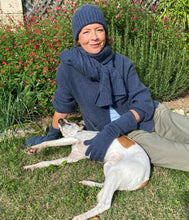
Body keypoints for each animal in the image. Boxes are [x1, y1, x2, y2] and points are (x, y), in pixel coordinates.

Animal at [23, 118, 151, 220]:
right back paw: (88, 183)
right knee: (104, 184)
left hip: (116, 171)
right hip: (109, 166)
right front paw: (33, 166)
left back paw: (81, 216)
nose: (59, 119)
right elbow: (47, 162)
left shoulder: (73, 139)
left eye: (70, 121)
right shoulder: (72, 158)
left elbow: (48, 142)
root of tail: (145, 179)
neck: (77, 133)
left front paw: (34, 148)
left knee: (104, 204)